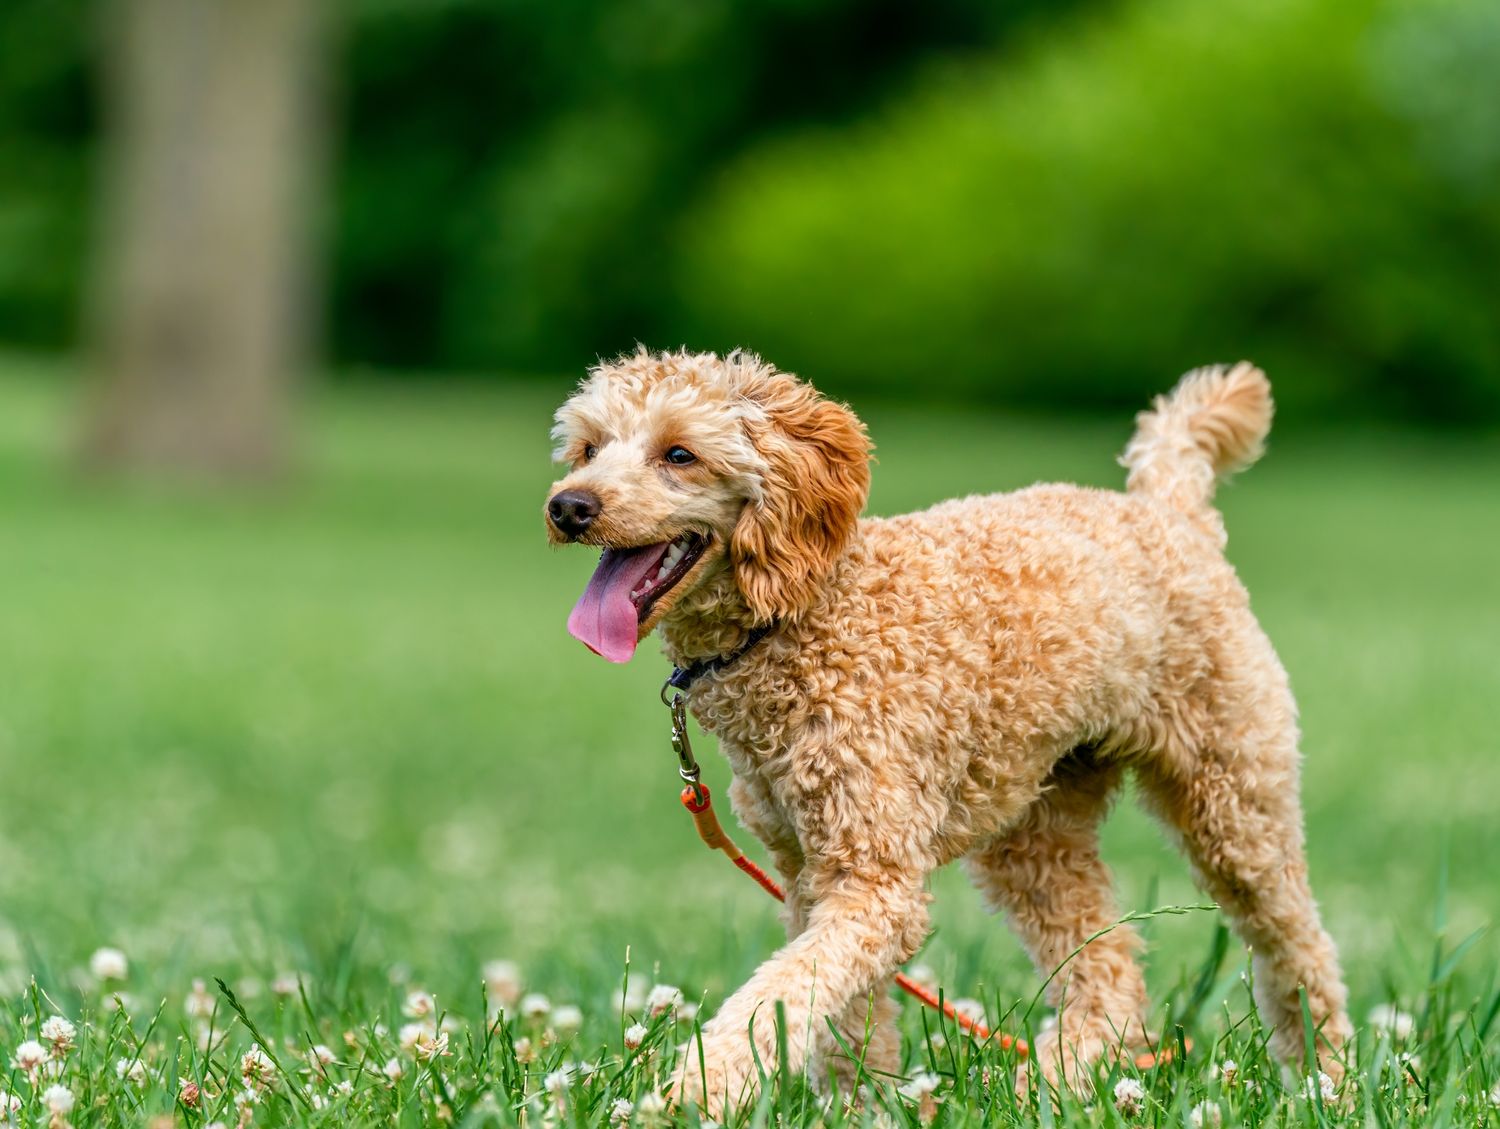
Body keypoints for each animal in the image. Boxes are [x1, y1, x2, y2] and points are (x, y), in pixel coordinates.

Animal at [546, 347, 1356, 1103]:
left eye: (679, 454)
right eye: (587, 449)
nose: (568, 507)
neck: (805, 614)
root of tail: (1170, 509)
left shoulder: (874, 879)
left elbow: (781, 995)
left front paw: (698, 1089)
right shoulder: (810, 872)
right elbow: (840, 1014)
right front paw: (857, 1104)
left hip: (1234, 794)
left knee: (1297, 944)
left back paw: (1329, 1077)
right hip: (1036, 828)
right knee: (1112, 966)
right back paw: (1058, 1079)